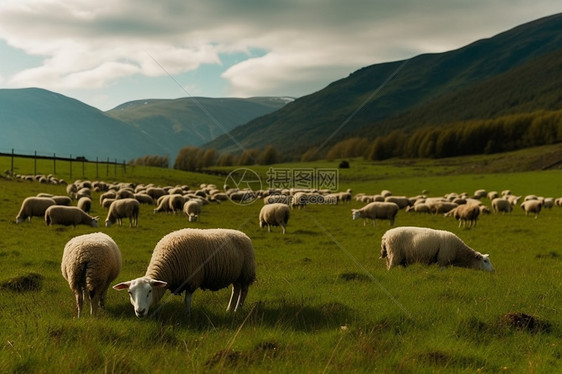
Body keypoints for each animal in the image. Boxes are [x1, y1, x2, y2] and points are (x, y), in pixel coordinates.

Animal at [112, 226, 256, 318]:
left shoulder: (192, 280)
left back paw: (238, 309)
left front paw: (188, 315)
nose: (140, 311)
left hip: (246, 273)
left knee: (243, 291)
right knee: (236, 290)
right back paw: (229, 309)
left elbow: (187, 300)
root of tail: (243, 234)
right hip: (237, 275)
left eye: (149, 291)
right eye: (130, 292)